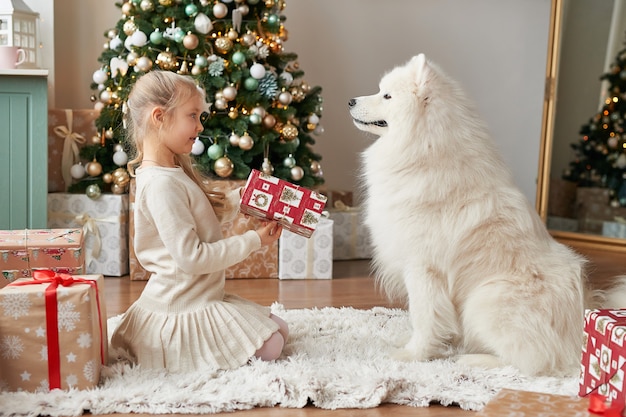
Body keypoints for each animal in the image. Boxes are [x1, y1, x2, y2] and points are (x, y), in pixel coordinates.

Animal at [346, 53, 624, 376]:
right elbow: (424, 318)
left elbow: (424, 316)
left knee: (531, 362)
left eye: (387, 96)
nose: (350, 100)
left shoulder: (423, 269)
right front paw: (416, 342)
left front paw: (412, 355)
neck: (426, 149)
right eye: (380, 90)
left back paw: (474, 359)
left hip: (484, 301)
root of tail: (581, 319)